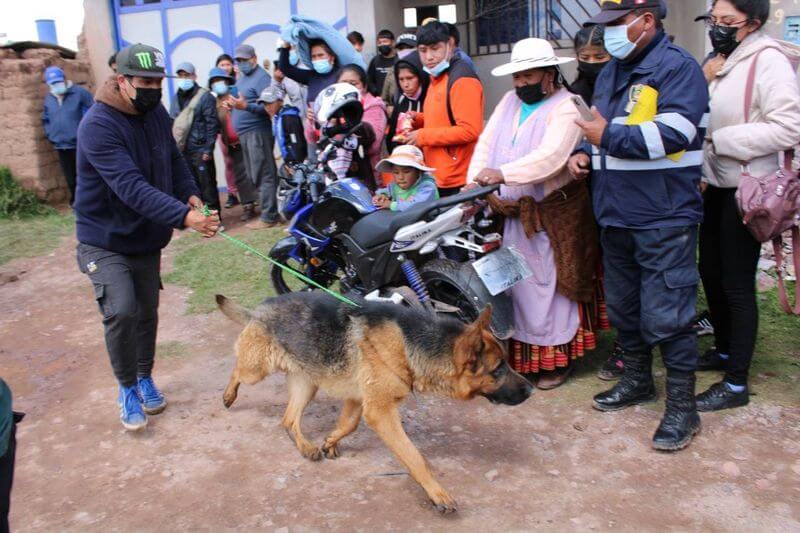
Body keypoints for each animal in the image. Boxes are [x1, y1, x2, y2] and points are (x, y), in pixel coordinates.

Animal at [216, 290, 536, 512]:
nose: (532, 389)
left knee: (288, 420)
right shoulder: (381, 412)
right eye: (498, 369)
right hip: (257, 370)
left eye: (506, 363)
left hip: (307, 384)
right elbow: (414, 457)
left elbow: (348, 425)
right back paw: (229, 394)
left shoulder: (359, 400)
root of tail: (259, 309)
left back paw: (307, 447)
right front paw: (437, 493)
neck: (408, 344)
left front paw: (330, 441)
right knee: (237, 368)